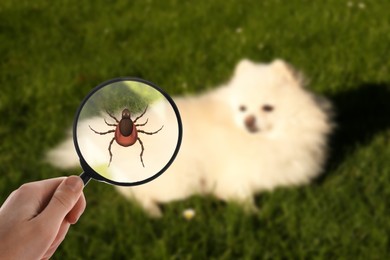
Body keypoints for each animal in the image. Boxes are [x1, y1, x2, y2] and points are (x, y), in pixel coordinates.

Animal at [45, 59, 332, 217]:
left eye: (268, 108)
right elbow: (243, 196)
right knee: (135, 192)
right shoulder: (235, 175)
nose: (248, 121)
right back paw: (152, 211)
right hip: (178, 180)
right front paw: (254, 215)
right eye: (242, 108)